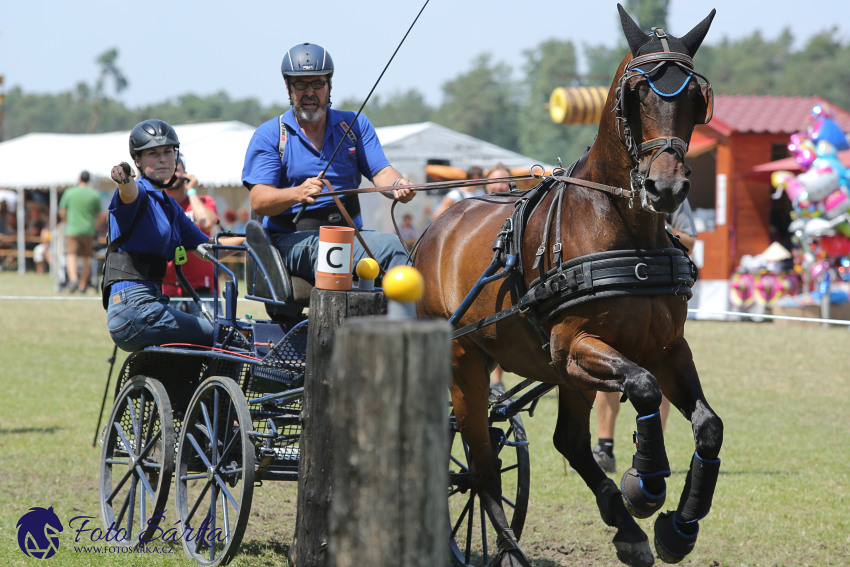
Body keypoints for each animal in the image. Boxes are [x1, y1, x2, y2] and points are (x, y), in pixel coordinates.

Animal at [414, 5, 720, 567]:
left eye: (695, 98)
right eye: (636, 93)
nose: (666, 187)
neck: (625, 233)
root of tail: (434, 228)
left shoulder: (666, 348)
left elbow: (707, 426)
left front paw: (678, 526)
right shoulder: (575, 345)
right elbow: (643, 387)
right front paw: (646, 485)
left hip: (555, 372)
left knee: (568, 443)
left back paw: (626, 529)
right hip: (466, 364)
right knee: (482, 468)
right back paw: (509, 546)